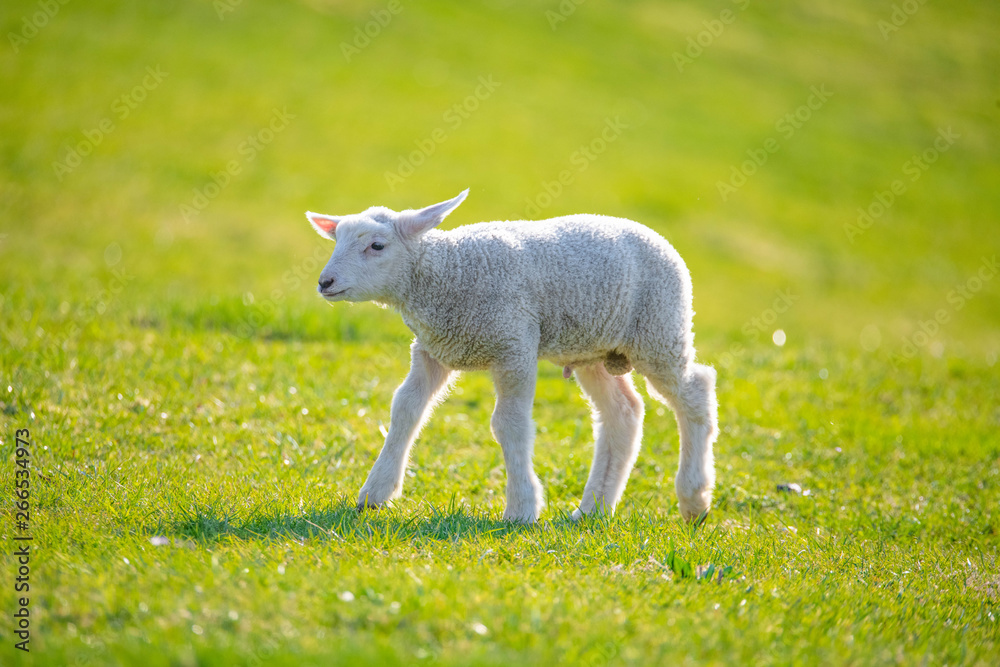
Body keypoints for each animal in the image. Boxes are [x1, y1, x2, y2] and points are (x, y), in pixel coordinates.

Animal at [305, 190, 718, 523]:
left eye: (377, 246)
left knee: (695, 391)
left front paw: (521, 509)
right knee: (623, 413)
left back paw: (694, 500)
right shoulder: (431, 350)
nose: (324, 283)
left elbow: (509, 424)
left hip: (660, 331)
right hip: (594, 349)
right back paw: (593, 509)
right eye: (337, 240)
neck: (447, 273)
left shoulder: (514, 345)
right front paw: (375, 493)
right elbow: (405, 409)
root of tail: (658, 238)